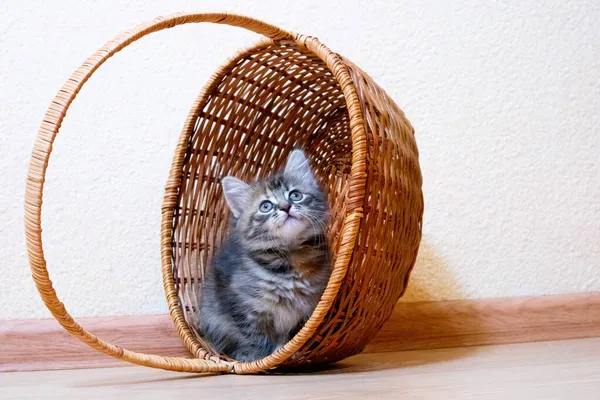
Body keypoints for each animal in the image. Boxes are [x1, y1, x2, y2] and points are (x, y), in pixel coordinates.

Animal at [197, 148, 330, 360]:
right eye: (265, 206)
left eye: (295, 195)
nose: (285, 207)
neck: (291, 256)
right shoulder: (245, 308)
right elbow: (255, 338)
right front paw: (258, 358)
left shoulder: (310, 307)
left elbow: (297, 335)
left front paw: (290, 353)